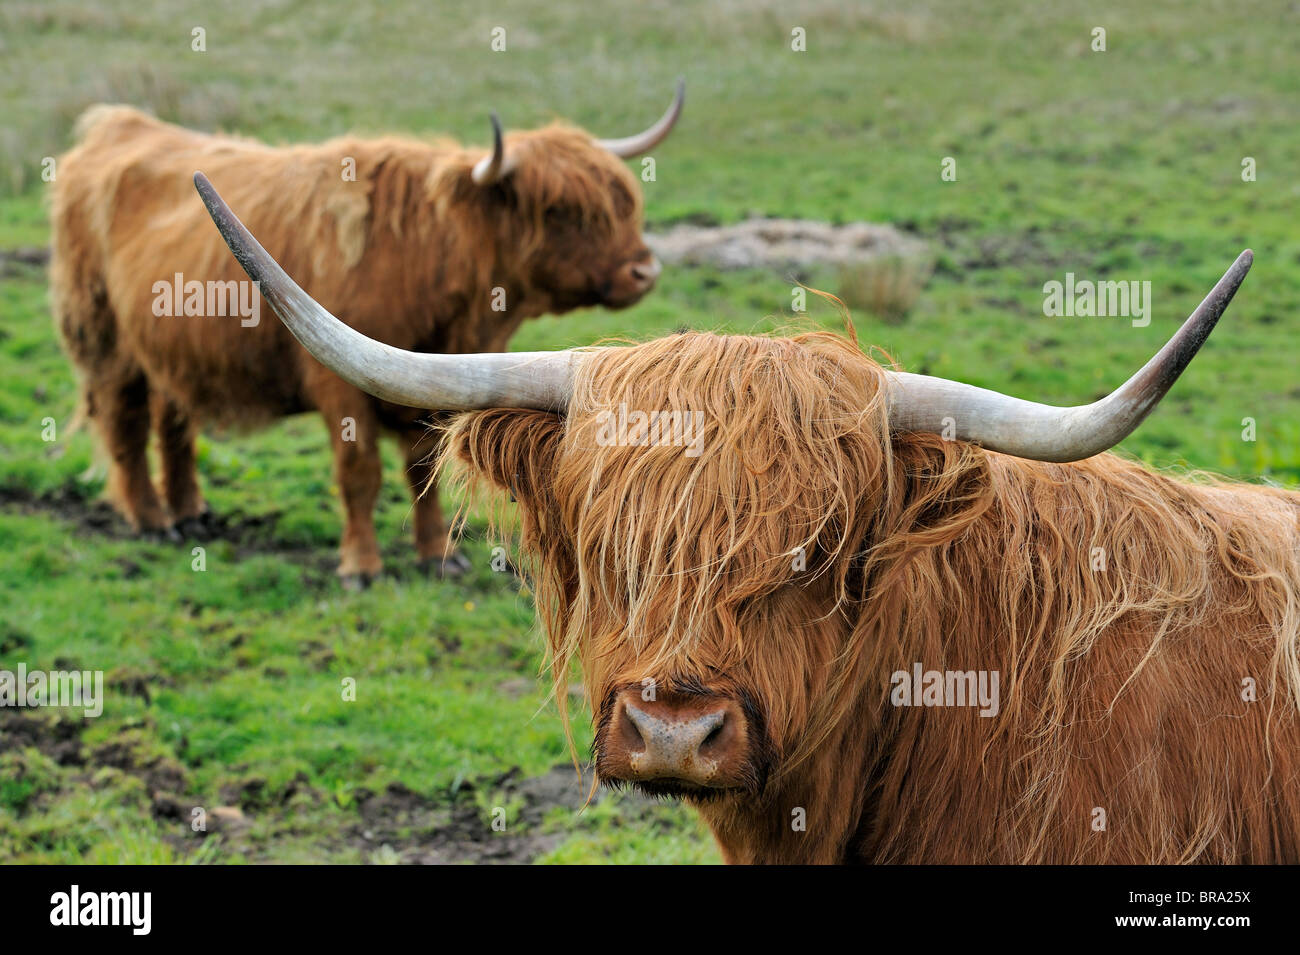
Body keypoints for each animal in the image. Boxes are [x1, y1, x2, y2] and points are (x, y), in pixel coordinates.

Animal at [50, 85, 681, 587]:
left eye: (622, 200)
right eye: (558, 210)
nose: (644, 270)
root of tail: (121, 124)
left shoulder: (434, 384)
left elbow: (423, 471)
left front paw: (437, 555)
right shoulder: (342, 390)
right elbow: (360, 475)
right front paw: (360, 566)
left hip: (170, 352)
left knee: (172, 421)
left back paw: (189, 512)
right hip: (106, 342)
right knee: (126, 423)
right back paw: (153, 522)